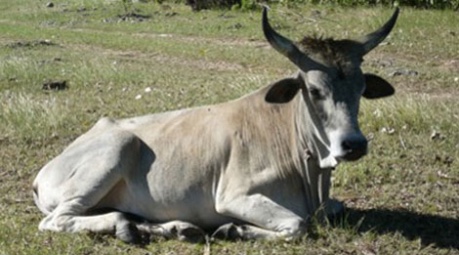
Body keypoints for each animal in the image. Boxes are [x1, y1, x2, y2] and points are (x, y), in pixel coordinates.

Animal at [33, 7, 398, 243]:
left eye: (362, 89)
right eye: (314, 90)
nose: (354, 144)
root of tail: (41, 174)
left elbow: (330, 211)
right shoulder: (233, 197)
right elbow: (297, 225)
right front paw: (235, 229)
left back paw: (172, 228)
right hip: (114, 151)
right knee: (57, 220)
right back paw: (128, 226)